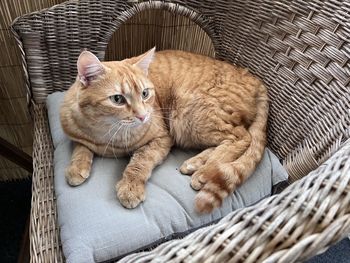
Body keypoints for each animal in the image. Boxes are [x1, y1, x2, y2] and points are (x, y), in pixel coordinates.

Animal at [60, 48, 268, 214]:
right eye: (117, 99)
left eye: (145, 94)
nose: (143, 116)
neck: (106, 134)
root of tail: (255, 79)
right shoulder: (75, 136)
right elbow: (81, 148)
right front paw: (76, 167)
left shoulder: (162, 138)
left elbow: (139, 162)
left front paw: (130, 187)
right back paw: (195, 163)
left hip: (189, 114)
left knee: (241, 137)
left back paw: (205, 171)